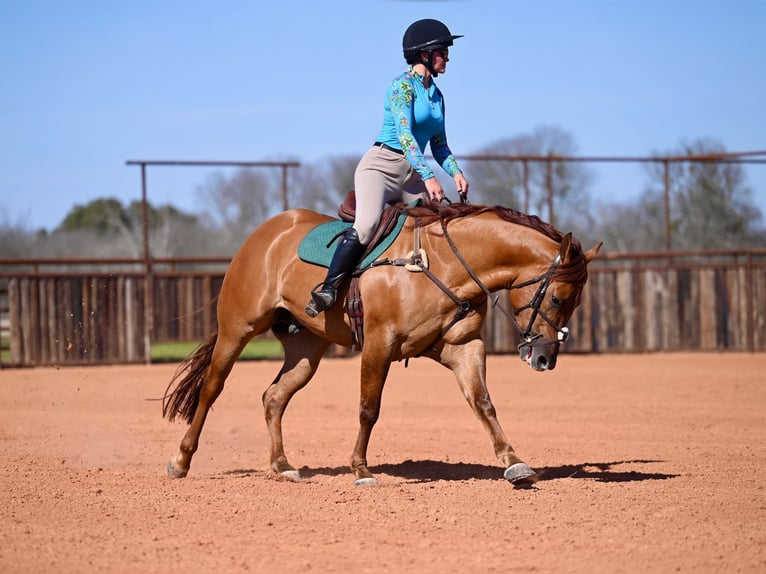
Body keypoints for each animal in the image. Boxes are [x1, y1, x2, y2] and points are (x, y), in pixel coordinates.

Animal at [162, 201, 604, 486]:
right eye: (558, 299)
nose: (545, 357)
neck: (440, 263)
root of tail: (266, 233)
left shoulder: (463, 347)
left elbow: (483, 403)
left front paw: (514, 462)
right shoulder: (379, 344)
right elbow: (368, 409)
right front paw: (360, 469)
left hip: (306, 351)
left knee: (274, 397)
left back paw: (282, 465)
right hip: (238, 330)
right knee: (211, 388)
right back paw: (181, 461)